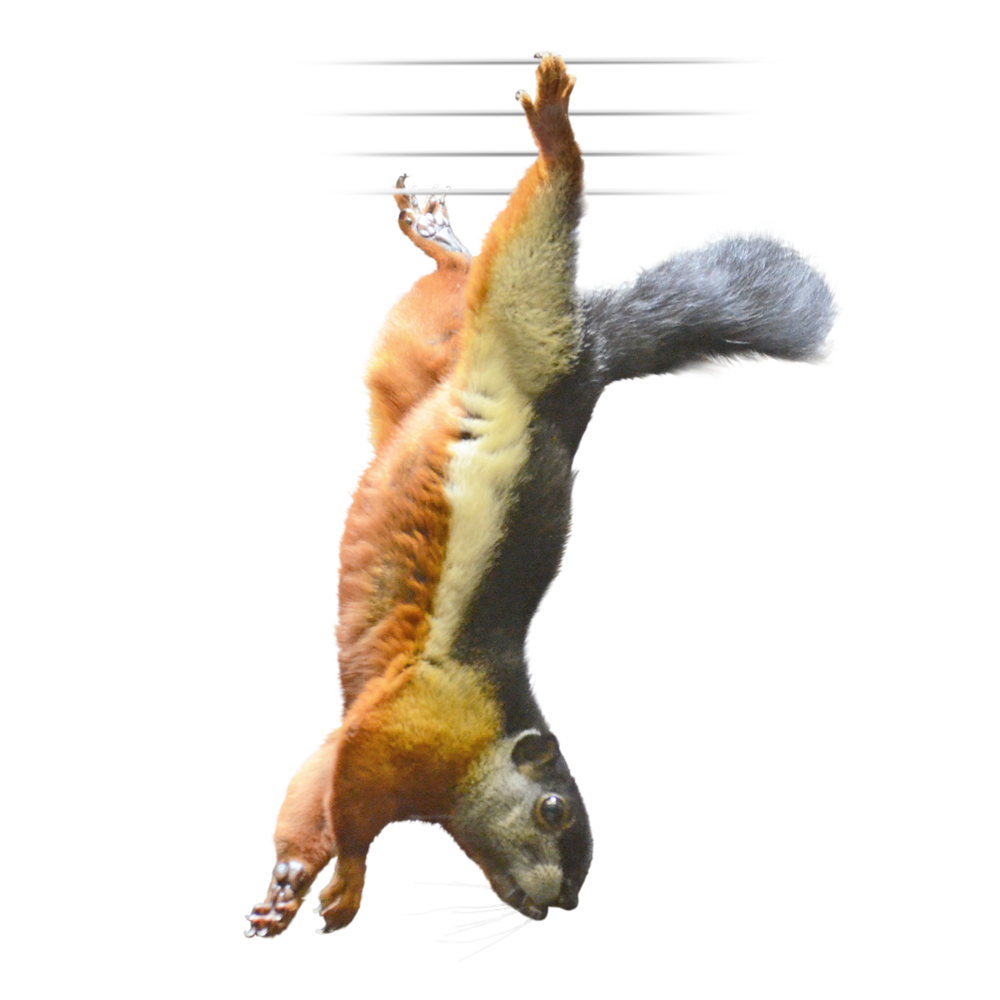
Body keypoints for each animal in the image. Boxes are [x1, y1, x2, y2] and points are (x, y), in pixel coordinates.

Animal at [246, 55, 840, 942]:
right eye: (555, 809)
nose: (562, 904)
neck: (485, 733)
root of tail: (589, 369)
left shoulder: (359, 732)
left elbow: (314, 786)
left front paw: (288, 881)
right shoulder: (403, 725)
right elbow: (349, 799)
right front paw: (345, 883)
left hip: (432, 360)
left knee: (454, 292)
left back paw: (440, 239)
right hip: (528, 324)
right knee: (531, 238)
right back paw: (552, 137)